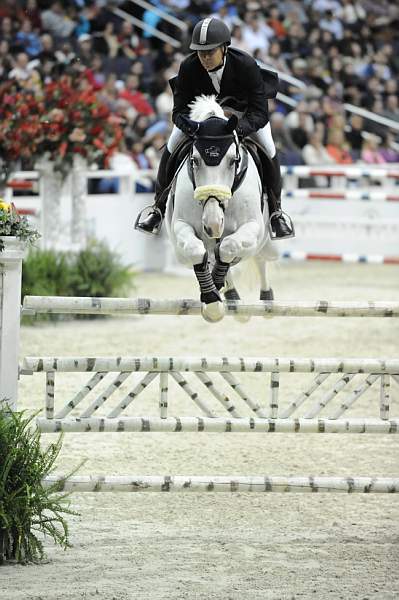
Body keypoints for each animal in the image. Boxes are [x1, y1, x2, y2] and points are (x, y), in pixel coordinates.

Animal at [166, 97, 278, 324]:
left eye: (233, 160)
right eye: (194, 160)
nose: (213, 224)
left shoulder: (253, 227)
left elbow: (228, 246)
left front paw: (215, 291)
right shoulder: (180, 227)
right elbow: (198, 251)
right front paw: (212, 300)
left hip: (264, 241)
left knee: (260, 259)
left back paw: (267, 301)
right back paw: (232, 297)